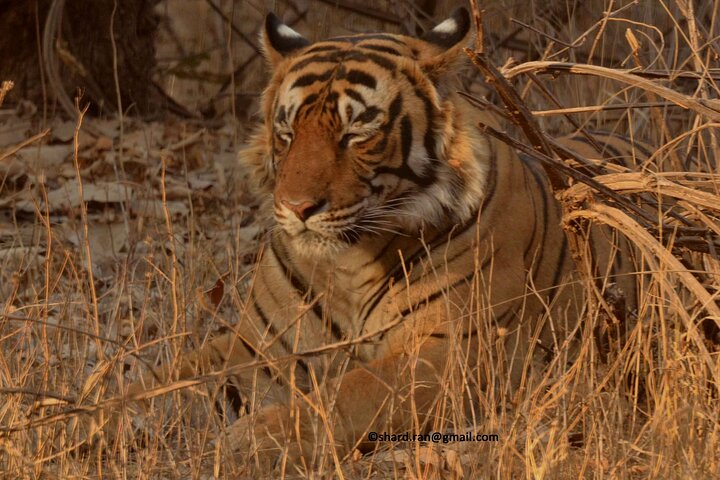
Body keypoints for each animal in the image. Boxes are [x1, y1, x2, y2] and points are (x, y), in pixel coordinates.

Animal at [125, 7, 641, 472]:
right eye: (287, 132)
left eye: (357, 133)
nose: (297, 208)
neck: (345, 266)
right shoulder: (262, 348)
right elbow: (156, 381)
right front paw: (113, 410)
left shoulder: (455, 352)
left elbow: (348, 393)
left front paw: (249, 438)